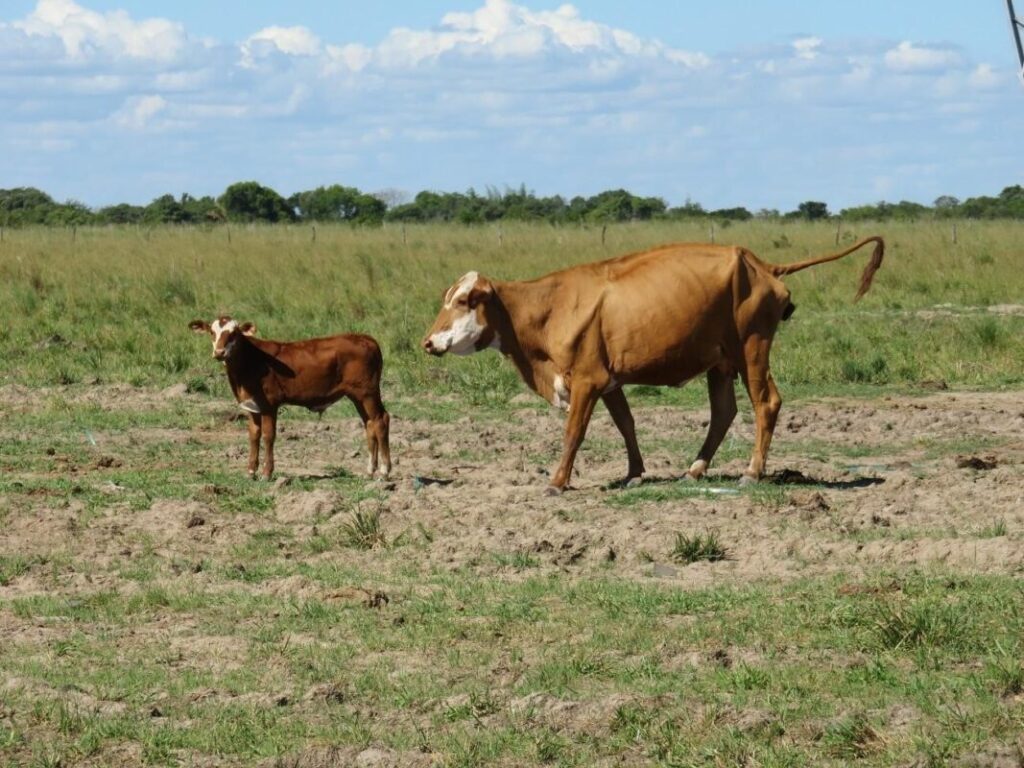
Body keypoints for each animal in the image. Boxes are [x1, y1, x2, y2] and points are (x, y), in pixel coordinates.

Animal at [189, 317, 391, 481]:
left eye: (234, 333)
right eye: (212, 332)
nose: (219, 352)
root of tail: (366, 339)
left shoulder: (269, 404)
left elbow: (268, 436)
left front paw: (266, 473)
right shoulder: (251, 406)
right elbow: (254, 435)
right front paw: (250, 472)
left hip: (367, 392)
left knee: (380, 420)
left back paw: (384, 471)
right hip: (357, 396)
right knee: (369, 424)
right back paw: (370, 471)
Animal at [422, 236, 883, 494]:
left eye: (464, 300)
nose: (428, 342)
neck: (551, 308)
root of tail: (759, 263)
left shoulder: (587, 381)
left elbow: (574, 433)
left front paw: (556, 482)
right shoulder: (608, 382)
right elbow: (626, 425)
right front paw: (635, 474)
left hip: (753, 348)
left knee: (765, 403)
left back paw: (752, 472)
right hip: (720, 361)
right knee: (724, 412)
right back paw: (695, 470)